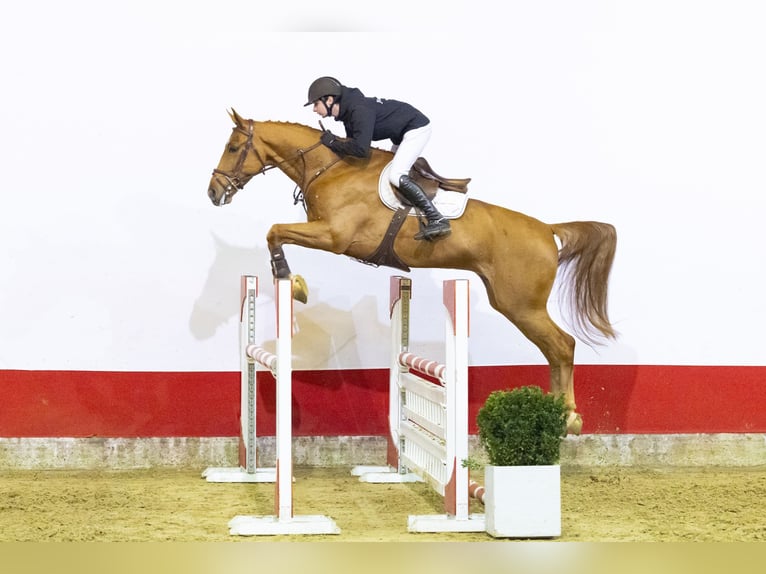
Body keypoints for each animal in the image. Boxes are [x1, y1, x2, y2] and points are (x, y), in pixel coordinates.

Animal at [207, 109, 617, 434]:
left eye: (232, 148)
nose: (214, 192)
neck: (330, 169)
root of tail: (548, 229)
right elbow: (275, 232)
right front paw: (292, 281)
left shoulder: (334, 236)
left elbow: (275, 231)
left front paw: (290, 281)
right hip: (511, 302)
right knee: (553, 350)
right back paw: (557, 415)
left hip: (522, 305)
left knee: (562, 345)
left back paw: (569, 418)